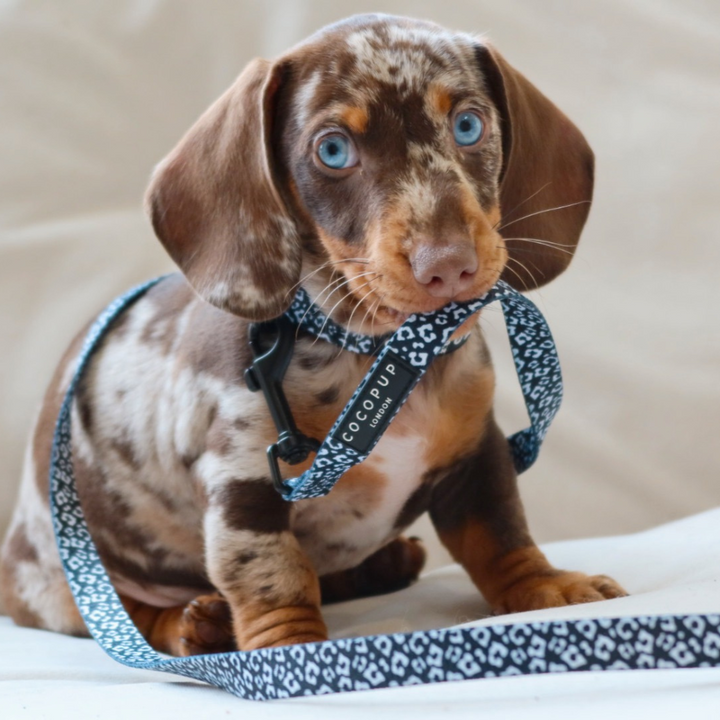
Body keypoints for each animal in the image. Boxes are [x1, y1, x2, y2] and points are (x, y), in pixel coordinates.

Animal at [1, 14, 624, 656]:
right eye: (333, 150)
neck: (380, 357)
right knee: (131, 616)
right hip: (66, 583)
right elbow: (273, 575)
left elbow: (501, 532)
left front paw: (547, 587)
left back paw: (381, 566)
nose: (449, 265)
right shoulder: (243, 482)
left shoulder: (476, 454)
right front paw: (291, 648)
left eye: (469, 125)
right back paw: (194, 625)